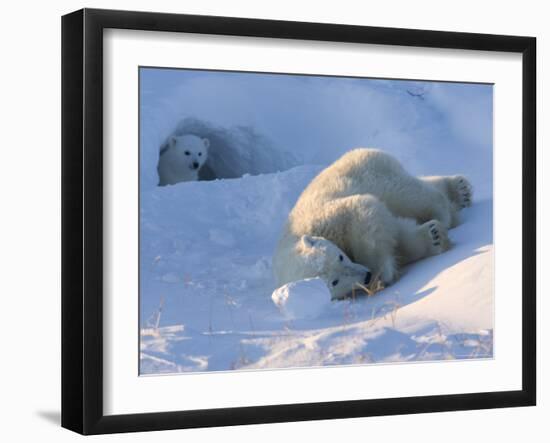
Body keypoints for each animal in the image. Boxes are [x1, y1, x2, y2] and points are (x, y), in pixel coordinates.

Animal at [276, 150, 474, 302]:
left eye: (340, 257)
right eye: (334, 281)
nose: (366, 275)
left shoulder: (329, 219)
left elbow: (364, 209)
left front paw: (380, 274)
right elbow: (397, 232)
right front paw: (434, 236)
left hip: (373, 174)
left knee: (410, 194)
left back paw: (450, 203)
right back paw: (460, 191)